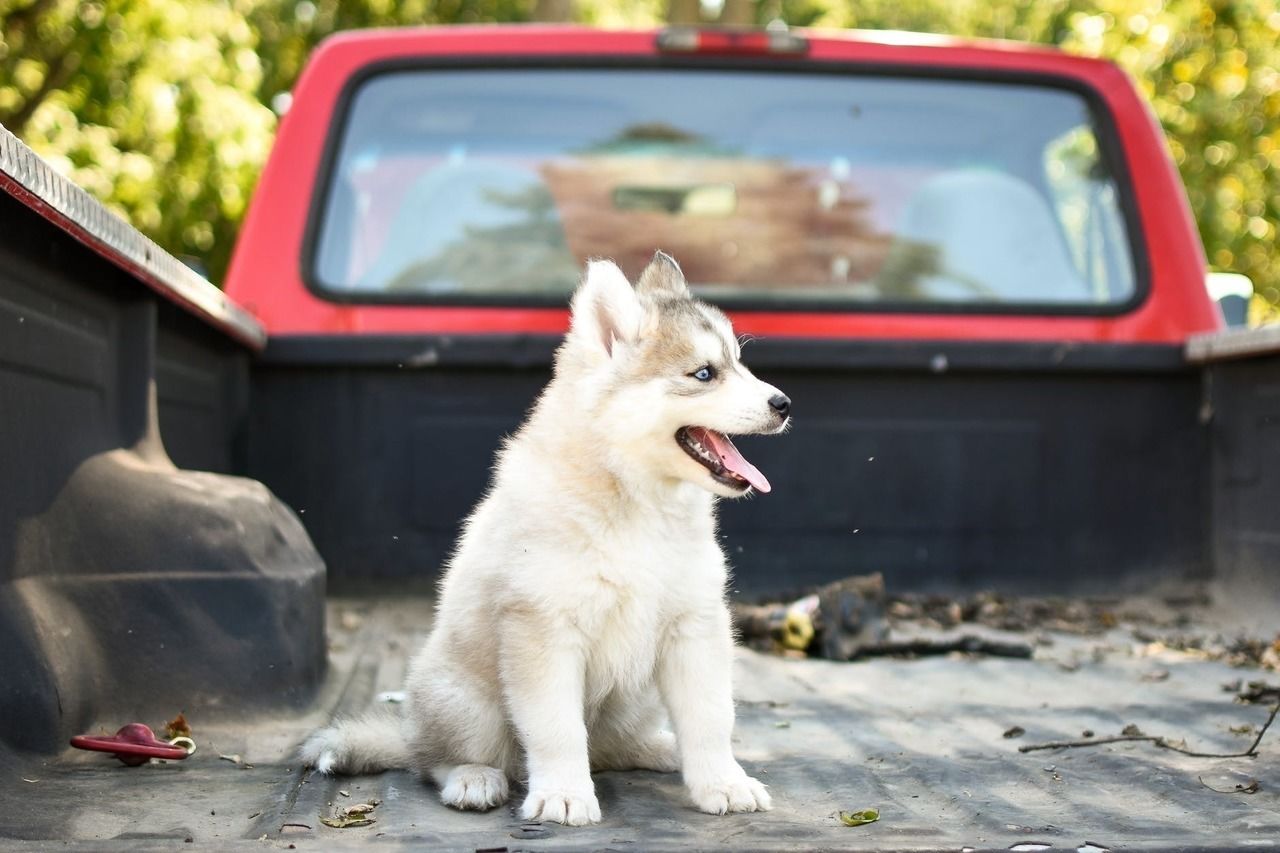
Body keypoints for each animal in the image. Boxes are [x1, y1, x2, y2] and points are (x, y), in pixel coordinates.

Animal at [304, 249, 793, 819]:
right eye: (704, 374)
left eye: (738, 364)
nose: (784, 404)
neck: (637, 503)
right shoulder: (543, 630)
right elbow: (557, 729)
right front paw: (563, 793)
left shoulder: (694, 626)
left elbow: (712, 718)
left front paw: (724, 782)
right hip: (467, 703)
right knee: (435, 760)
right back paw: (472, 778)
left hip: (634, 698)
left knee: (612, 748)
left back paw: (661, 748)